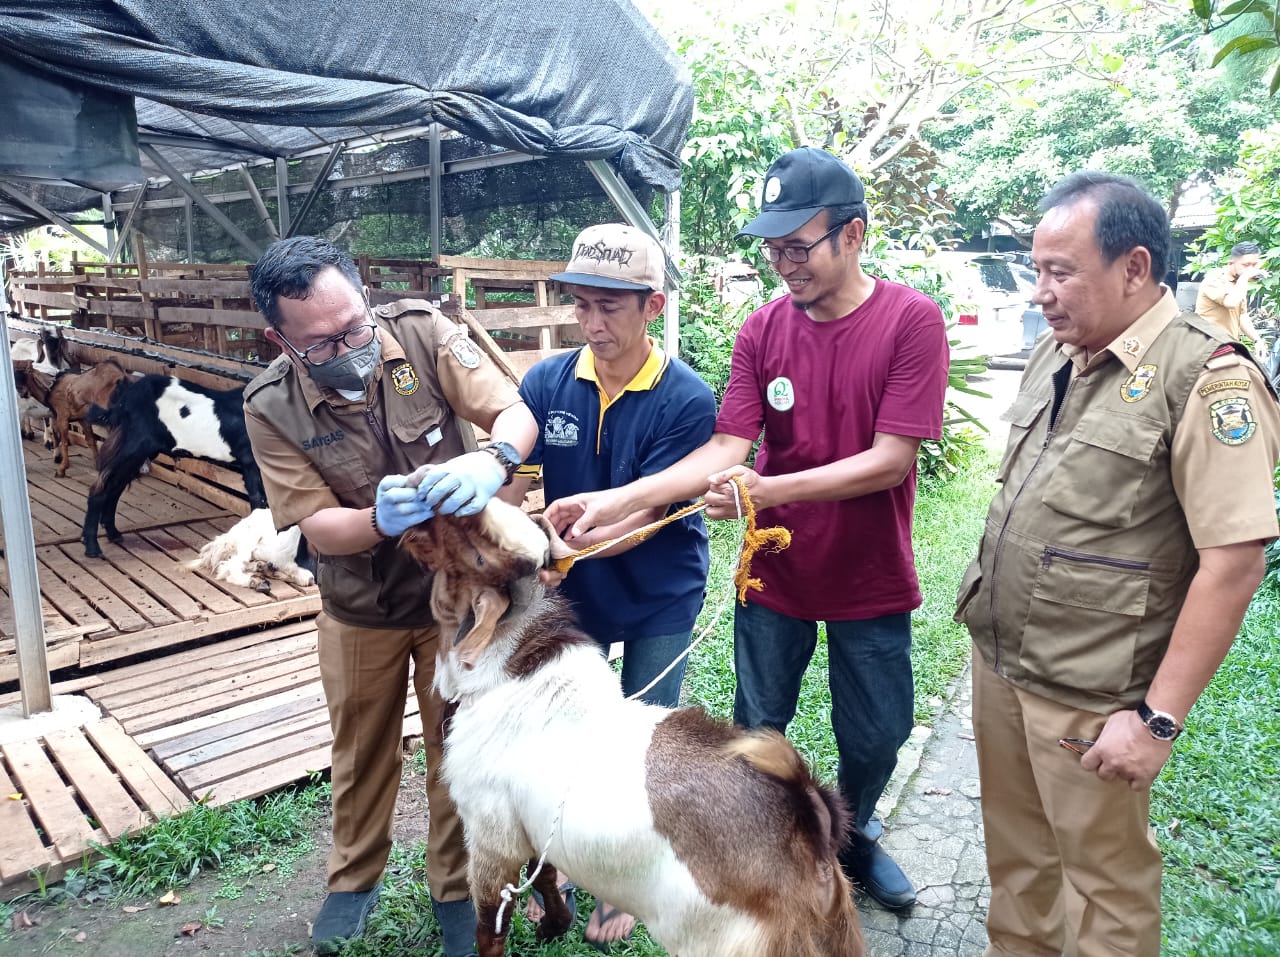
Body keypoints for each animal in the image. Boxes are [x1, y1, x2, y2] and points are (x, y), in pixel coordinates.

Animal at [82, 371, 267, 557]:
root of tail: (123, 401)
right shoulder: (251, 462)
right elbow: (259, 500)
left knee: (114, 488)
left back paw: (113, 534)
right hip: (133, 447)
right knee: (100, 488)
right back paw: (92, 548)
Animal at [399, 501, 860, 957]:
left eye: (479, 554)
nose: (417, 515)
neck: (515, 674)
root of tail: (810, 825)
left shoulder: (492, 833)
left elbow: (492, 924)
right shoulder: (534, 825)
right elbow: (545, 874)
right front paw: (554, 924)